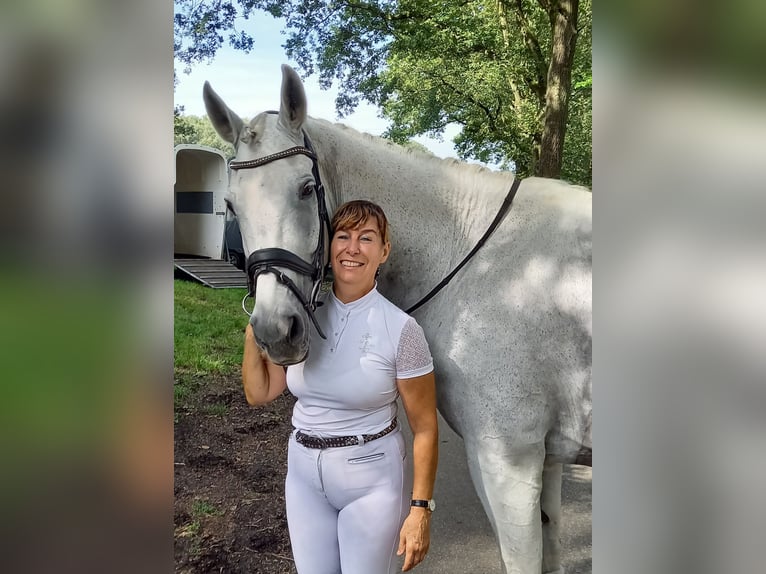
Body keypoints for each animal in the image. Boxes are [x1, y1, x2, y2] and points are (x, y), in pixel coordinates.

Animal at [204, 64, 592, 574]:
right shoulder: (545, 461)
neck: (486, 265)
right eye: (231, 205)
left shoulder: (509, 460)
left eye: (306, 189)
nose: (274, 331)